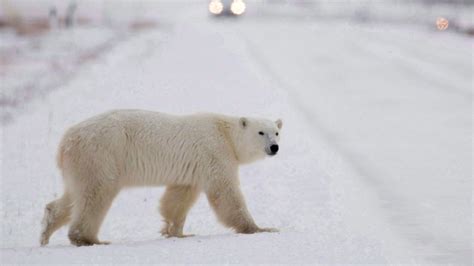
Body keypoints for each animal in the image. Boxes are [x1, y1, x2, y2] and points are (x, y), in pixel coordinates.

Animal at [39, 109, 282, 246]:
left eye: (277, 132)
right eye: (261, 132)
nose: (274, 147)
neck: (226, 134)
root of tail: (65, 142)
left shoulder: (192, 168)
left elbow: (178, 198)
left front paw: (177, 232)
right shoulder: (215, 152)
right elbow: (226, 193)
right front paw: (260, 228)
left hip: (81, 164)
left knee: (73, 195)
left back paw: (46, 232)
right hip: (101, 155)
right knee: (96, 193)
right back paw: (89, 239)